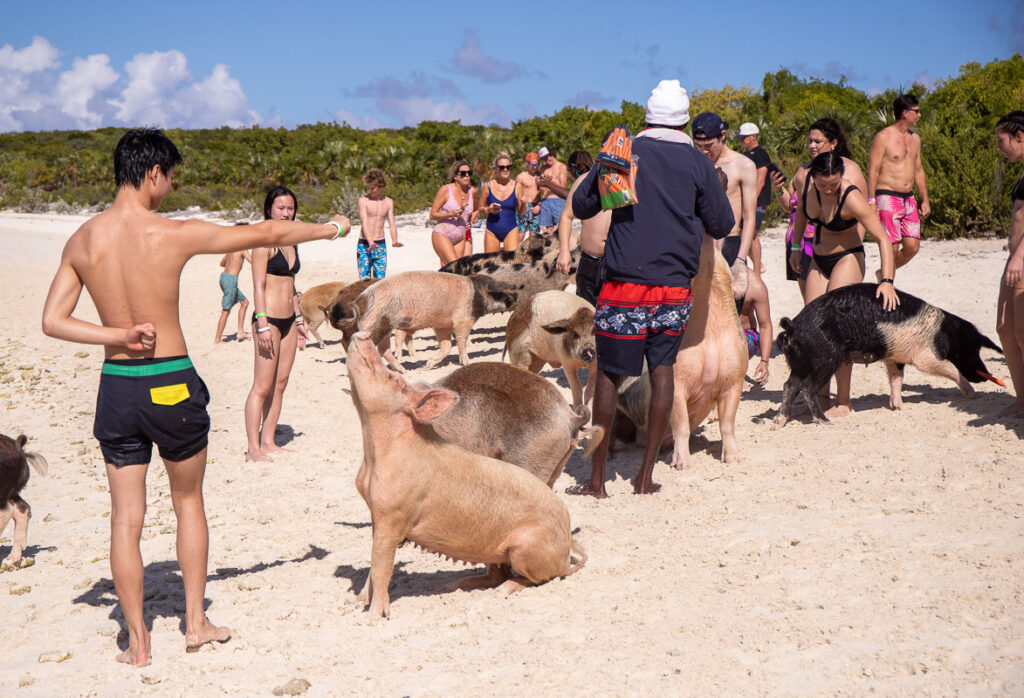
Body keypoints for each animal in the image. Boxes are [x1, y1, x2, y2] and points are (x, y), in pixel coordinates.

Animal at [352, 270, 516, 370]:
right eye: (499, 293)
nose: (515, 297)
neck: (476, 295)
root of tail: (362, 298)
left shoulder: (443, 325)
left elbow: (446, 346)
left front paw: (428, 364)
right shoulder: (462, 319)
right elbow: (461, 341)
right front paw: (466, 363)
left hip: (384, 328)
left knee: (383, 349)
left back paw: (402, 371)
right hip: (375, 324)